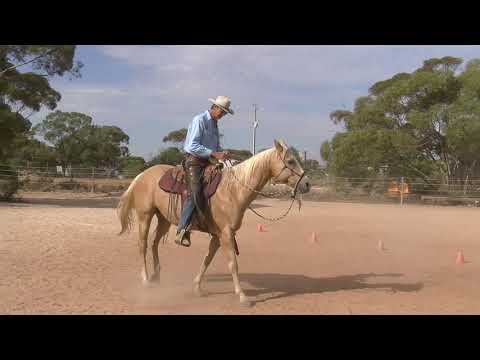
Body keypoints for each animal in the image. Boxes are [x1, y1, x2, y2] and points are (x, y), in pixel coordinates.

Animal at [117, 139, 312, 306]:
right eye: (290, 161)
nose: (307, 184)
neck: (233, 191)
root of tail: (142, 175)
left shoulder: (218, 236)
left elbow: (207, 259)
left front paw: (197, 287)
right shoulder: (226, 234)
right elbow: (233, 263)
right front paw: (242, 297)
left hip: (164, 219)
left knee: (154, 242)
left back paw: (156, 276)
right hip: (145, 216)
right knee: (142, 244)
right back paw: (145, 280)